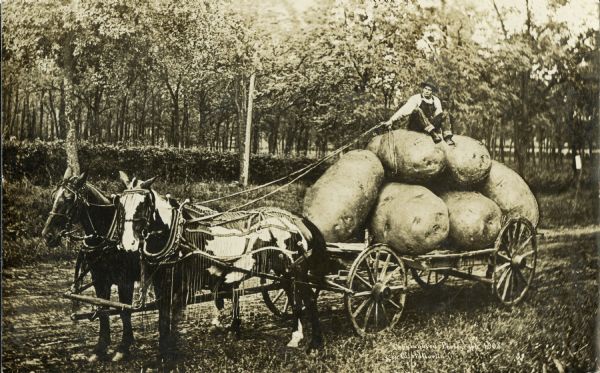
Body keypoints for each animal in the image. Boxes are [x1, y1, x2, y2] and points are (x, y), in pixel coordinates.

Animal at [42, 168, 141, 360]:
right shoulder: (99, 279)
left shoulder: (125, 280)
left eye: (69, 199)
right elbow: (103, 309)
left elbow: (124, 311)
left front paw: (123, 348)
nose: (47, 235)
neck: (109, 235)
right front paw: (100, 348)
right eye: (53, 196)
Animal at [118, 171, 330, 364]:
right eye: (120, 204)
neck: (178, 236)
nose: (128, 244)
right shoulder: (161, 284)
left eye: (143, 204)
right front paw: (162, 355)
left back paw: (315, 345)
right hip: (283, 271)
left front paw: (169, 358)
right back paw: (295, 336)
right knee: (294, 298)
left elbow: (171, 321)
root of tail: (294, 219)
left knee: (309, 299)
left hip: (296, 269)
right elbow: (163, 320)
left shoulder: (181, 287)